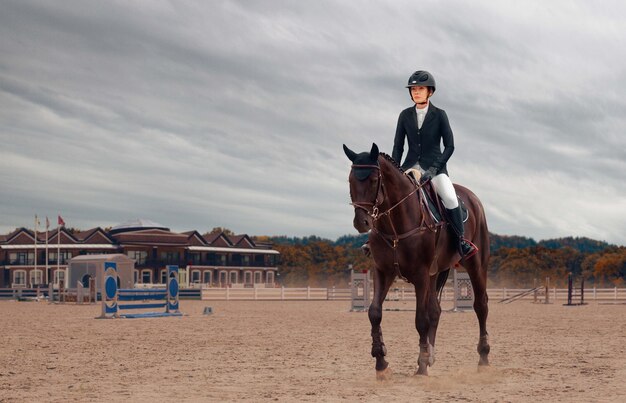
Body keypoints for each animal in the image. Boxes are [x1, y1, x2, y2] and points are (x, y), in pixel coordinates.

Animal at [342, 143, 488, 378]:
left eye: (373, 180)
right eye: (350, 180)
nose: (361, 222)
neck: (395, 223)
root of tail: (472, 198)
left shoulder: (420, 275)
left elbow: (421, 320)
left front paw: (421, 366)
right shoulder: (383, 272)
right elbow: (374, 313)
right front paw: (381, 362)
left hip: (476, 265)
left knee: (480, 305)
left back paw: (483, 358)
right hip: (435, 272)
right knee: (436, 310)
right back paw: (432, 356)